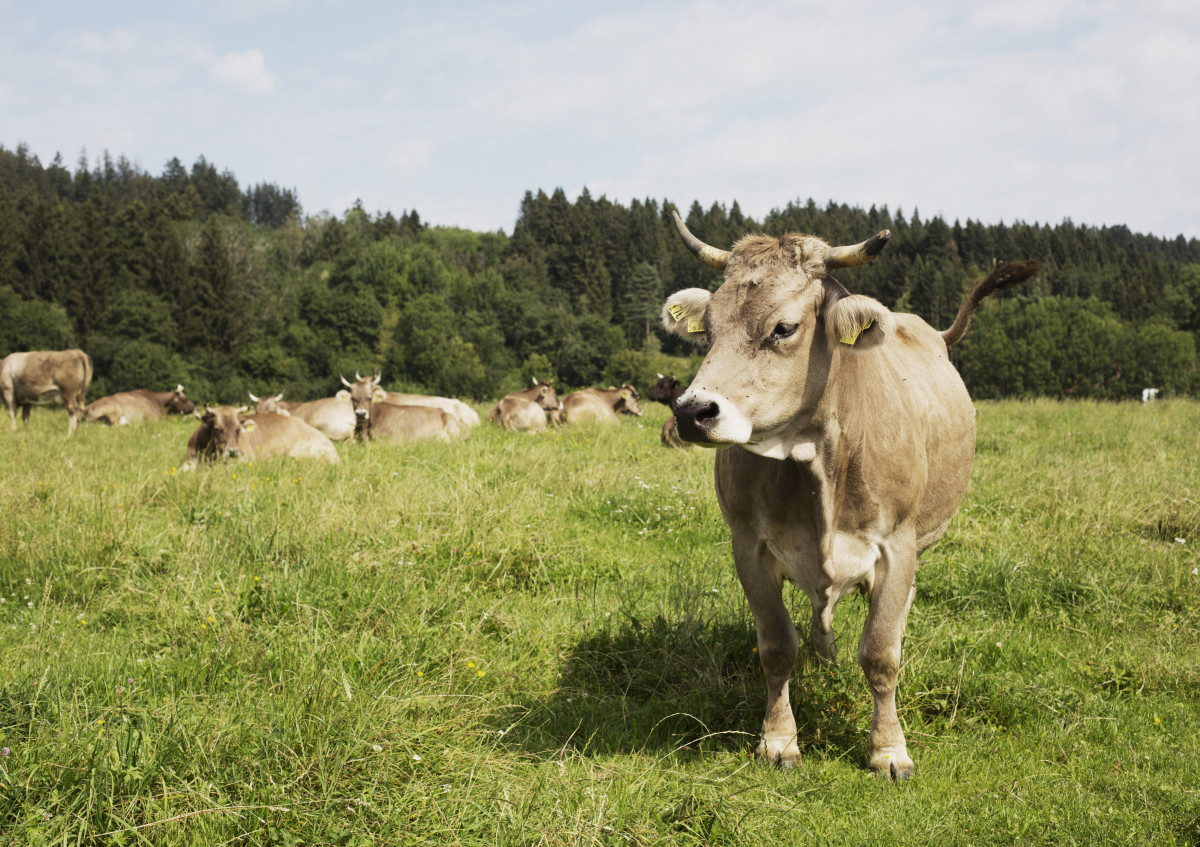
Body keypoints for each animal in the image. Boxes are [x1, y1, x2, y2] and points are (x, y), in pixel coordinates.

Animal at [662, 207, 1036, 777]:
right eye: (710, 331)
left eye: (783, 328)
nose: (691, 412)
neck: (813, 462)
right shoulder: (747, 544)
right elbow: (776, 647)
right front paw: (779, 739)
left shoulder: (897, 546)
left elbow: (881, 653)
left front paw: (889, 748)